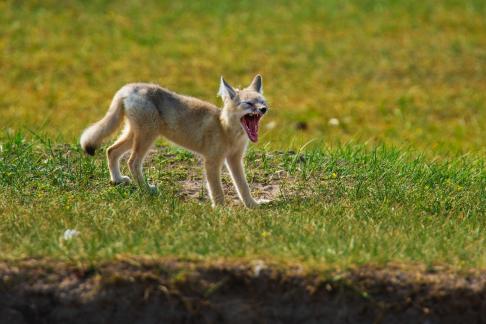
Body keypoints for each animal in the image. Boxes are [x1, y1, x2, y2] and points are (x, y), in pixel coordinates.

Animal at [80, 74, 270, 208]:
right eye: (248, 103)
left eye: (262, 101)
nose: (264, 109)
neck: (225, 129)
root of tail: (129, 87)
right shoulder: (212, 161)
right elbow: (217, 190)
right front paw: (221, 210)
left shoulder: (234, 159)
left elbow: (243, 186)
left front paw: (253, 205)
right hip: (147, 137)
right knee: (132, 162)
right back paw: (147, 190)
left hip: (135, 135)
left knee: (111, 151)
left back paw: (117, 180)